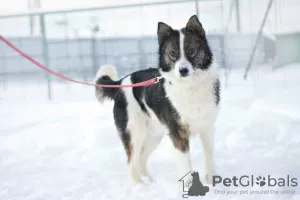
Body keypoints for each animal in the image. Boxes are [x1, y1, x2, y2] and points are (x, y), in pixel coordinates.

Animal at [95, 15, 219, 184]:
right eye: (173, 53)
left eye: (191, 51)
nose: (183, 70)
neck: (190, 86)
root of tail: (120, 83)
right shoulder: (178, 134)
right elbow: (186, 166)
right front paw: (189, 186)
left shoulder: (207, 128)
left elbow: (209, 157)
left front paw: (212, 183)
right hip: (134, 132)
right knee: (131, 163)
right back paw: (140, 186)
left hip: (154, 135)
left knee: (141, 159)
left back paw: (150, 182)